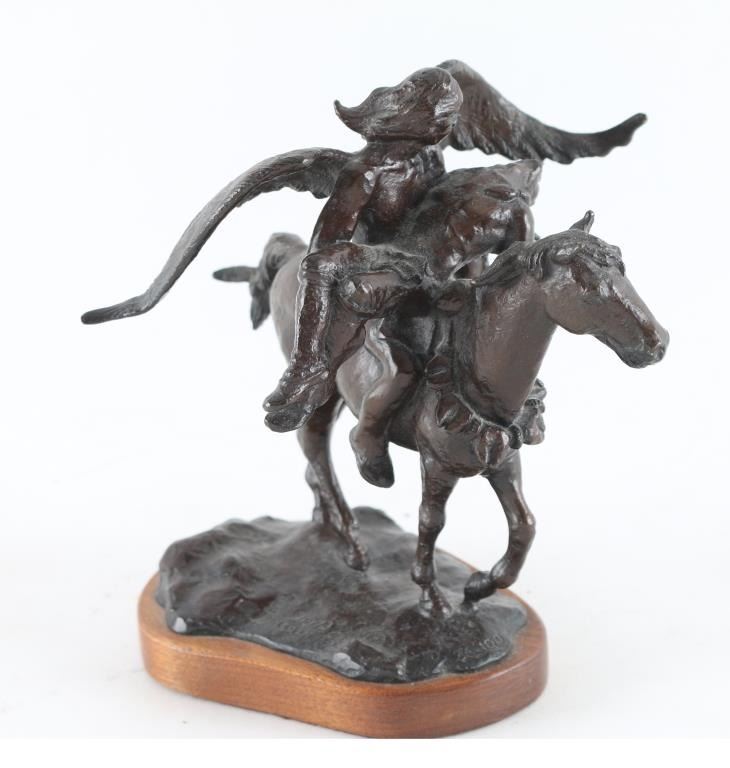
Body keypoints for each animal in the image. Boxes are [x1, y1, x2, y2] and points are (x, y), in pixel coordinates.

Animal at [229, 210, 669, 616]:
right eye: (589, 285)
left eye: (621, 267)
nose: (657, 343)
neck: (472, 367)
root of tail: (293, 256)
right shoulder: (437, 464)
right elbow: (430, 522)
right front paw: (432, 597)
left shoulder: (503, 458)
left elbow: (524, 526)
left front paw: (478, 588)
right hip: (321, 395)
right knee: (317, 448)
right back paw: (352, 539)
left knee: (312, 461)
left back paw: (325, 523)